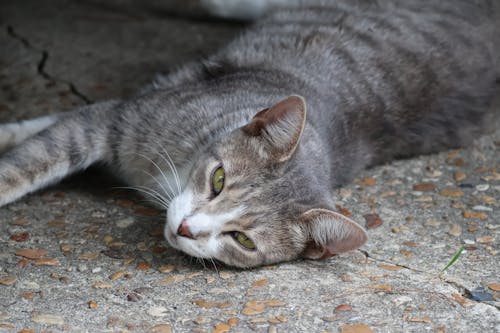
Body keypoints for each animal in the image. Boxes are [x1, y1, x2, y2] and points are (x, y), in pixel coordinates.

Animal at [0, 0, 498, 268]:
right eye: (219, 180)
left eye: (242, 240)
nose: (186, 227)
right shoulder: (118, 117)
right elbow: (36, 152)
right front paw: (9, 139)